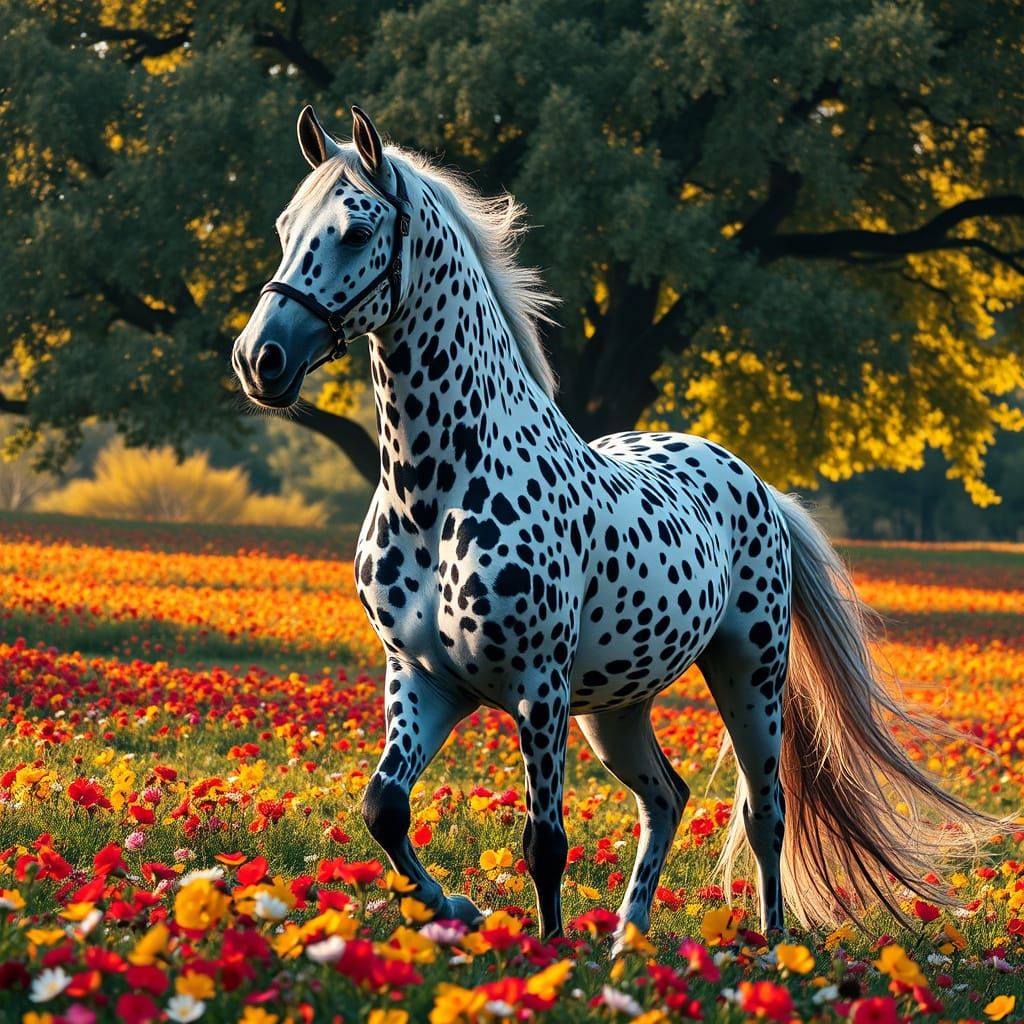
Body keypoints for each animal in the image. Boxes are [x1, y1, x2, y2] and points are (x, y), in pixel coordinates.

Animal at [233, 105, 994, 947]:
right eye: (286, 226)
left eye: (356, 231)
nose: (260, 359)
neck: (440, 493)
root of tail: (755, 483)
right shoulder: (423, 679)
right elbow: (385, 810)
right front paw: (457, 909)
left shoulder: (538, 690)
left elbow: (544, 842)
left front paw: (547, 950)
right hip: (618, 708)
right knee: (666, 796)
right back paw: (628, 936)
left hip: (748, 676)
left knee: (765, 814)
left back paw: (768, 947)